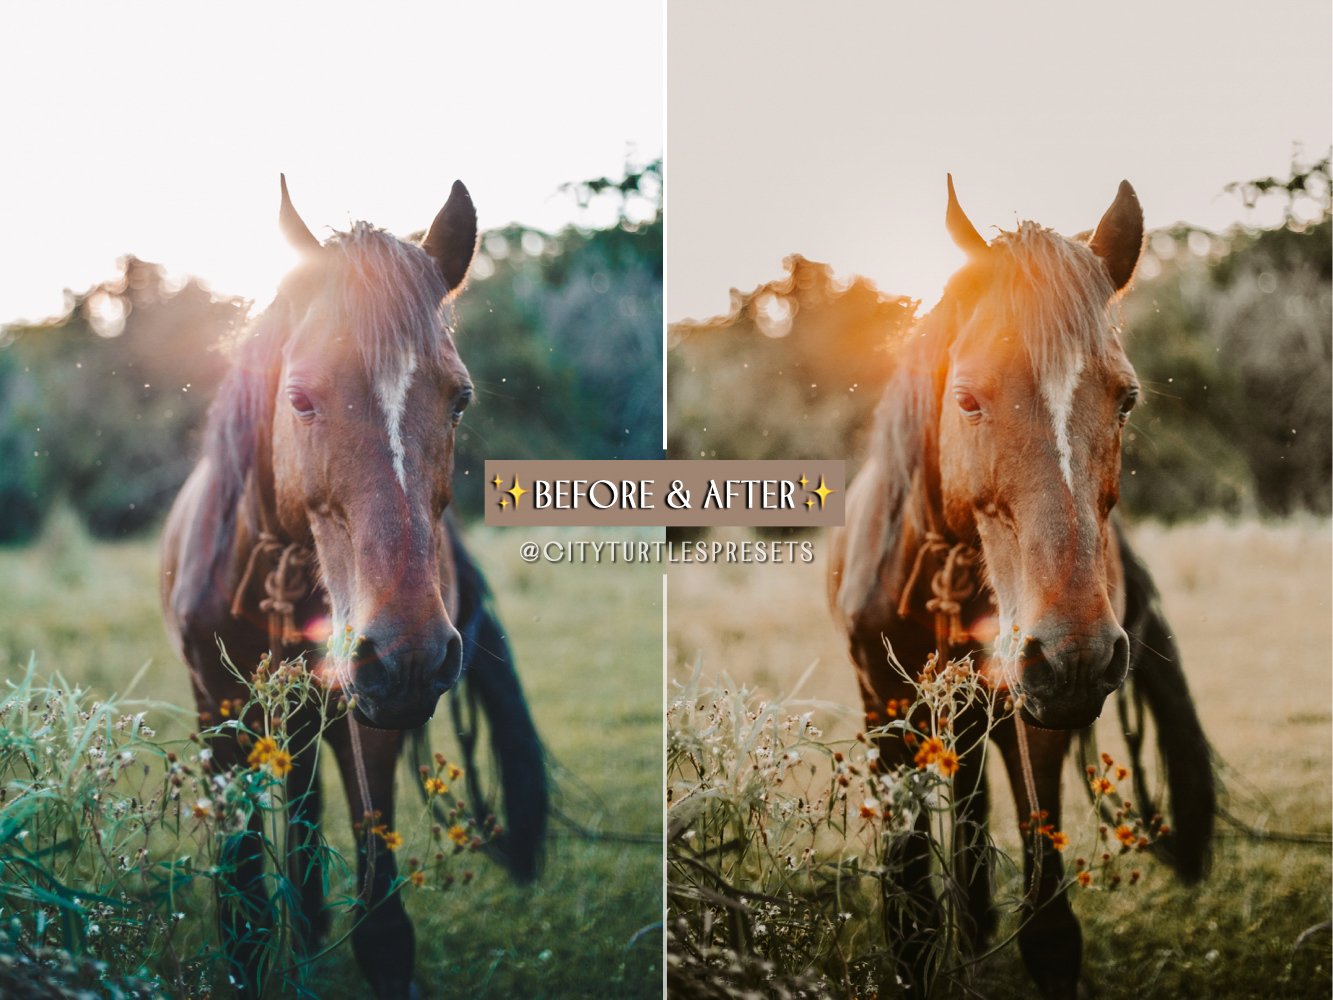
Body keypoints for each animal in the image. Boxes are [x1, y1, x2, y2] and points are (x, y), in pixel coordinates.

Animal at [162, 176, 546, 997]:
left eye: (460, 398)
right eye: (300, 398)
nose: (408, 653)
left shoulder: (369, 722)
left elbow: (384, 931)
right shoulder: (218, 718)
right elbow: (243, 922)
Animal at [826, 176, 1215, 997]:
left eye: (1126, 398)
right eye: (968, 398)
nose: (1074, 653)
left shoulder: (1035, 720)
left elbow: (1050, 932)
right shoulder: (885, 715)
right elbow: (910, 927)